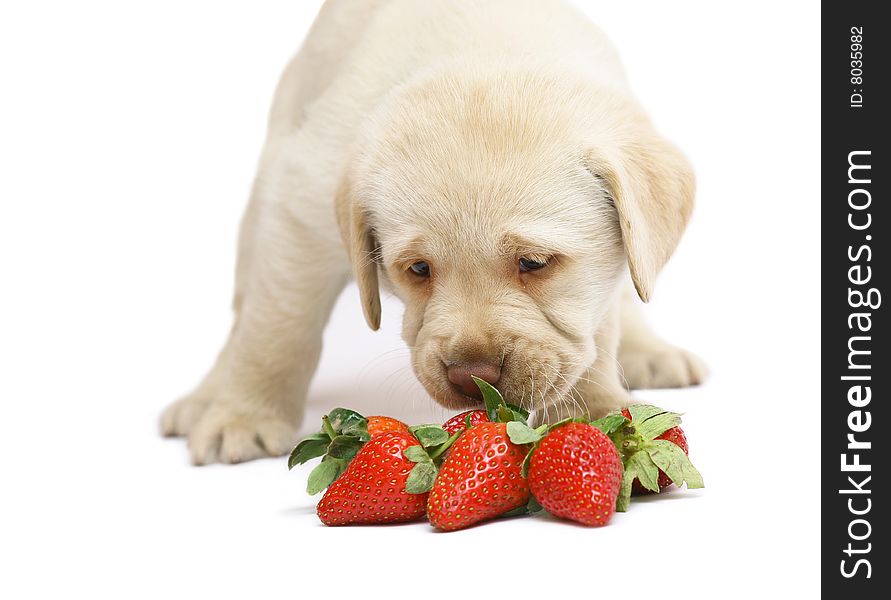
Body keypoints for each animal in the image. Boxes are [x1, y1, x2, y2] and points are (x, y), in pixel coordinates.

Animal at [159, 0, 704, 464]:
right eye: (417, 269)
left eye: (534, 264)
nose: (472, 376)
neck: (490, 52)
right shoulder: (301, 205)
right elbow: (277, 327)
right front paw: (243, 413)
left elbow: (597, 325)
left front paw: (593, 411)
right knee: (246, 310)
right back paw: (207, 397)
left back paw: (649, 351)